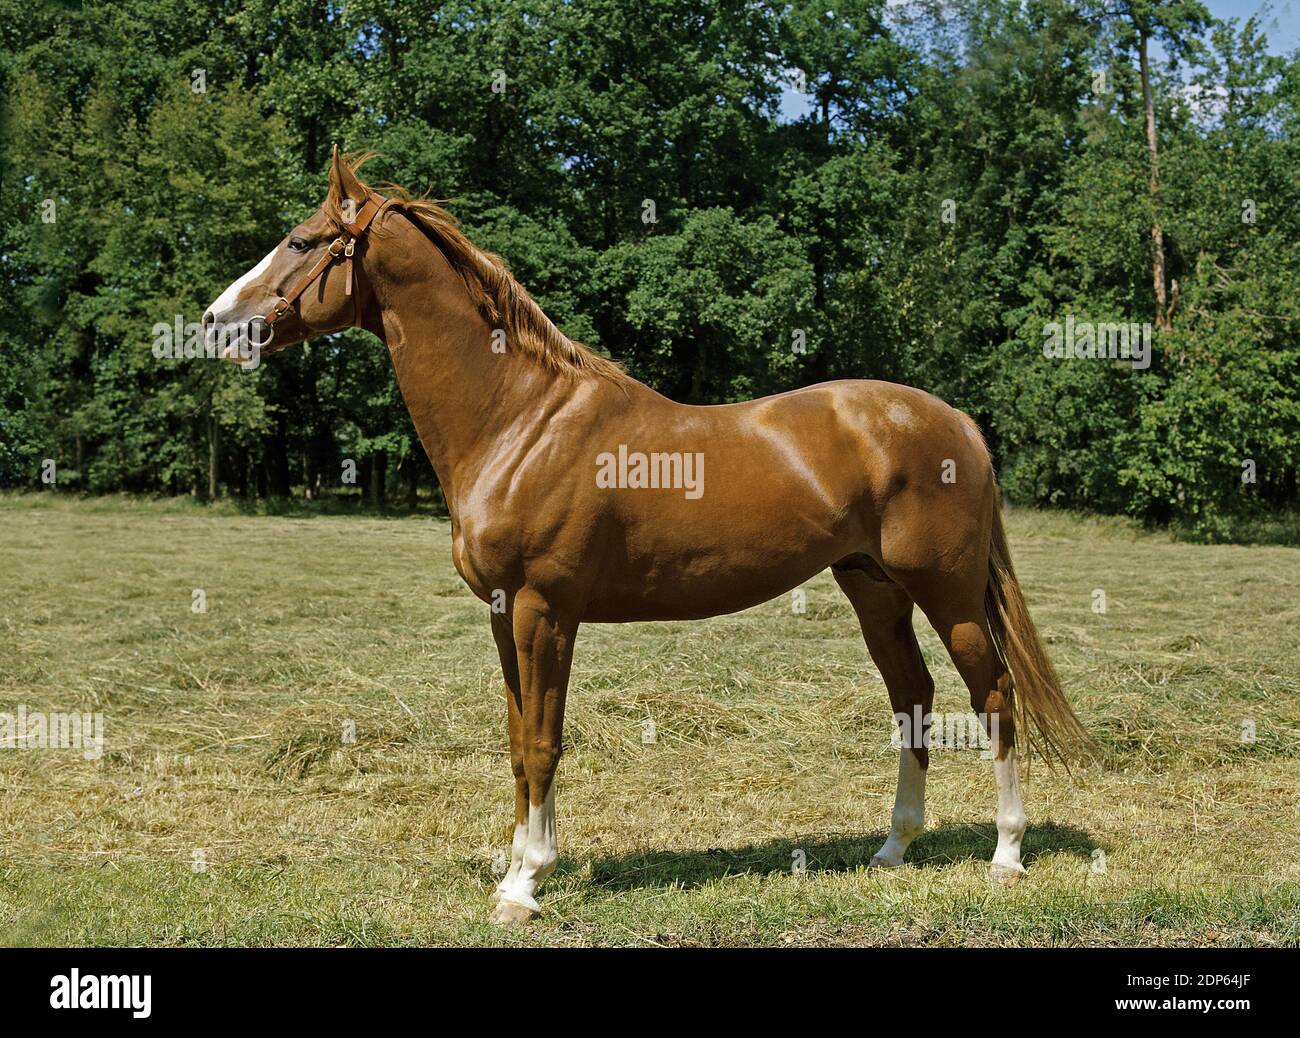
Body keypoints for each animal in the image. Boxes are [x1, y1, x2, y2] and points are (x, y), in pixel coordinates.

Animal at [204, 149, 1091, 926]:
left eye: (303, 241)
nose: (214, 324)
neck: (520, 421)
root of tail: (957, 423)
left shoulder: (544, 613)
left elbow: (543, 742)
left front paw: (525, 885)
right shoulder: (504, 615)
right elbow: (518, 740)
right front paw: (517, 865)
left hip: (948, 594)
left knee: (993, 697)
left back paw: (1006, 855)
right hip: (872, 589)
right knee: (913, 698)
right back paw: (893, 849)